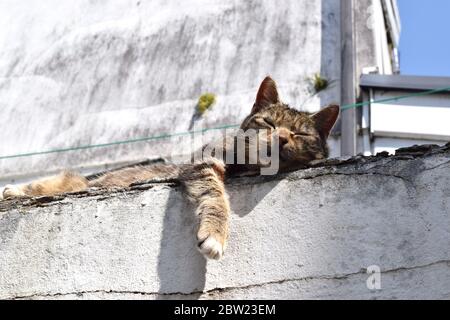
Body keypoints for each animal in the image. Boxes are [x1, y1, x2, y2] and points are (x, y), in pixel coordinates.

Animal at [0, 77, 340, 260]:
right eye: (268, 123)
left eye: (300, 134)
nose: (281, 138)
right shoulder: (202, 160)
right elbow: (215, 195)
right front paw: (215, 234)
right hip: (73, 181)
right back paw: (13, 189)